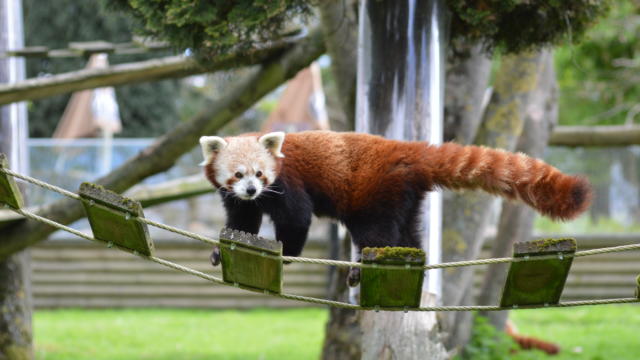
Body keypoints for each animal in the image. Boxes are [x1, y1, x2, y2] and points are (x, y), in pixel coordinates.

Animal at [199, 129, 592, 262]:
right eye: (238, 175)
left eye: (260, 173)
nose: (252, 189)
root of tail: (405, 149)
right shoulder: (237, 198)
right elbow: (242, 219)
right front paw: (223, 249)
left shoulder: (289, 181)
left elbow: (296, 219)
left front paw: (288, 255)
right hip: (405, 197)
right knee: (407, 234)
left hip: (373, 191)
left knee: (376, 232)